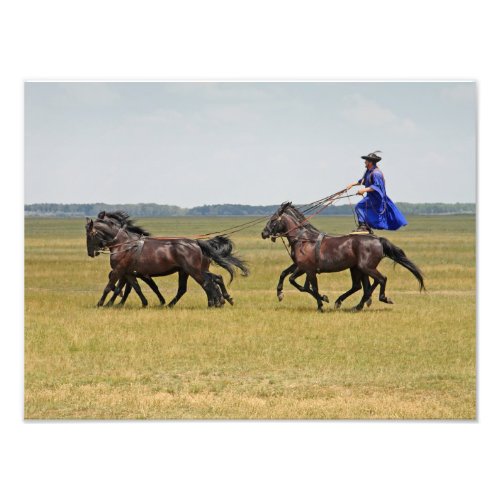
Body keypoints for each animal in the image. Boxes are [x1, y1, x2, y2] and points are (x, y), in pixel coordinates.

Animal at [88, 212, 250, 308]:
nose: (91, 253)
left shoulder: (120, 270)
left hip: (194, 271)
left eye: (89, 234)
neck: (125, 244)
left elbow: (111, 286)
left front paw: (101, 303)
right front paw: (144, 303)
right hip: (189, 271)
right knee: (211, 280)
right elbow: (134, 287)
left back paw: (215, 302)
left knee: (207, 283)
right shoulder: (129, 273)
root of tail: (197, 243)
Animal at [260, 201, 424, 310]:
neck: (303, 239)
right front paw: (280, 293)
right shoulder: (301, 266)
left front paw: (321, 303)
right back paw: (354, 304)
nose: (264, 233)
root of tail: (377, 240)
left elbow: (304, 285)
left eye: (273, 220)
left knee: (381, 279)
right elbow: (288, 276)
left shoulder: (308, 269)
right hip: (357, 268)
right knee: (362, 286)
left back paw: (381, 298)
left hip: (365, 267)